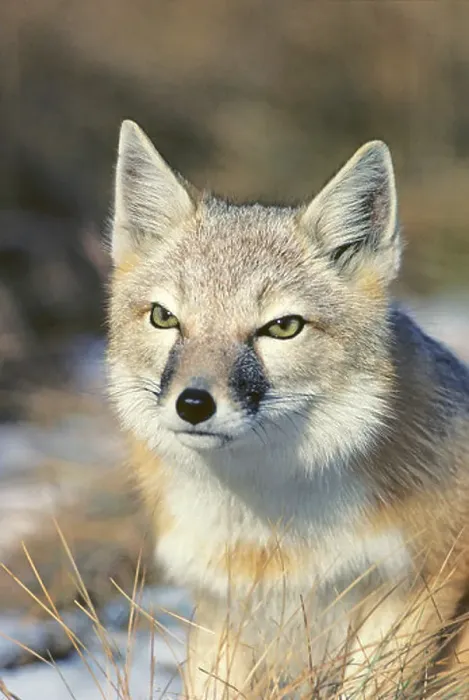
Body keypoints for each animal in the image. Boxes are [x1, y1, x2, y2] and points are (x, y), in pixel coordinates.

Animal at [107, 120, 469, 698]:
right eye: (165, 318)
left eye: (282, 327)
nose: (193, 404)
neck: (270, 537)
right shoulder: (219, 606)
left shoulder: (425, 579)